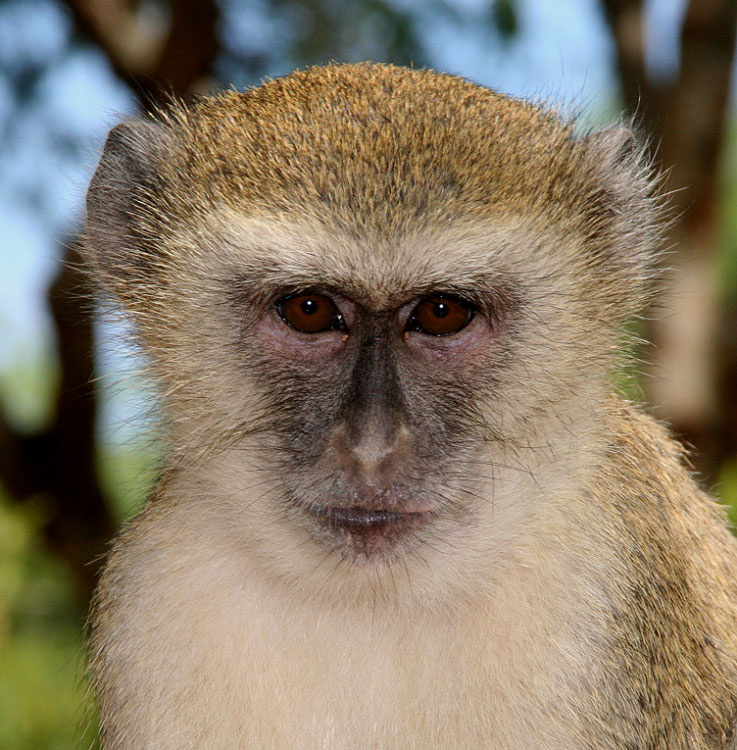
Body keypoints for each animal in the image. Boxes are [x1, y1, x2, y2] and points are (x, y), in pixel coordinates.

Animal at [83, 62, 737, 749]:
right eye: (309, 309)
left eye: (441, 312)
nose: (371, 446)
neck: (374, 602)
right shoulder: (152, 596)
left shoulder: (607, 582)